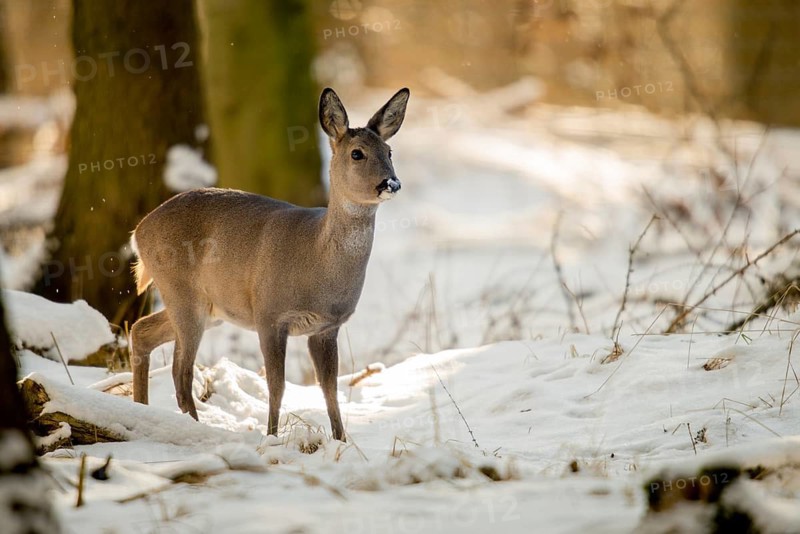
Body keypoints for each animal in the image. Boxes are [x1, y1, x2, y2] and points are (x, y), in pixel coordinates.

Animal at [129, 87, 410, 442]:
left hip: (206, 307)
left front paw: (341, 441)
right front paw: (272, 437)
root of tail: (138, 232)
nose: (390, 183)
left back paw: (141, 410)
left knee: (142, 331)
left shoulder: (327, 327)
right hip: (181, 291)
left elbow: (329, 389)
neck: (317, 259)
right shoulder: (269, 314)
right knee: (181, 371)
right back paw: (192, 427)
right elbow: (276, 386)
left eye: (389, 150)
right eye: (357, 153)